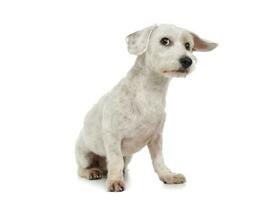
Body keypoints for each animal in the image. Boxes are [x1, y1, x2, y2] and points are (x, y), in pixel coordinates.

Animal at [74, 24, 217, 191]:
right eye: (165, 41)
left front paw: (168, 176)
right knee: (82, 168)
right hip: (84, 154)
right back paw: (92, 172)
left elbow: (158, 160)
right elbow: (115, 160)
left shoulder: (156, 138)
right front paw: (115, 181)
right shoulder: (112, 136)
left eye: (188, 45)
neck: (151, 91)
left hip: (128, 157)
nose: (187, 60)